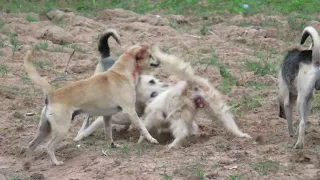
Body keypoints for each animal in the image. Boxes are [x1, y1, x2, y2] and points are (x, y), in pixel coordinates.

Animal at [23, 43, 160, 165]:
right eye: (150, 56)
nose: (158, 62)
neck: (122, 73)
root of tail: (53, 94)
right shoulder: (129, 110)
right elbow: (142, 126)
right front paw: (151, 139)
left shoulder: (107, 116)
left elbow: (108, 133)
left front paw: (112, 145)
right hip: (61, 130)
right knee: (48, 147)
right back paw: (56, 162)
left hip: (44, 129)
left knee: (31, 145)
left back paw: (27, 164)